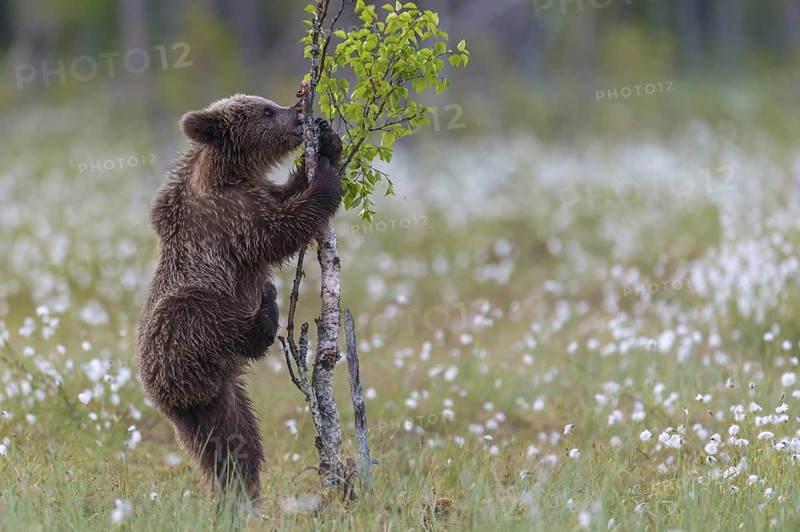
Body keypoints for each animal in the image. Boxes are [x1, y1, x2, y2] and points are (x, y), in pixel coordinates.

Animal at [136, 94, 342, 506]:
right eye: (266, 110)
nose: (298, 114)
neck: (229, 173)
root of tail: (175, 402)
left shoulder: (256, 195)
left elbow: (286, 195)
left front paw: (328, 140)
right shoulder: (229, 218)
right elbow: (280, 230)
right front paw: (326, 179)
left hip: (225, 399)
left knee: (236, 444)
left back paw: (242, 493)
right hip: (174, 331)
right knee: (199, 316)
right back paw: (266, 310)